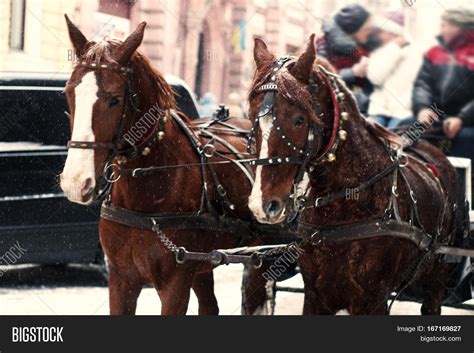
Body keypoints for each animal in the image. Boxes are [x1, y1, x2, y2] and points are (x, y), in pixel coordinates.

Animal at [60, 15, 272, 314]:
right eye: (69, 93)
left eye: (114, 99)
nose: (75, 182)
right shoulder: (121, 280)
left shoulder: (176, 283)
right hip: (205, 262)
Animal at [248, 34, 466, 314]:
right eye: (252, 117)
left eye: (299, 119)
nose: (264, 205)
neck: (347, 205)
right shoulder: (316, 294)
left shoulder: (373, 299)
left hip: (437, 275)